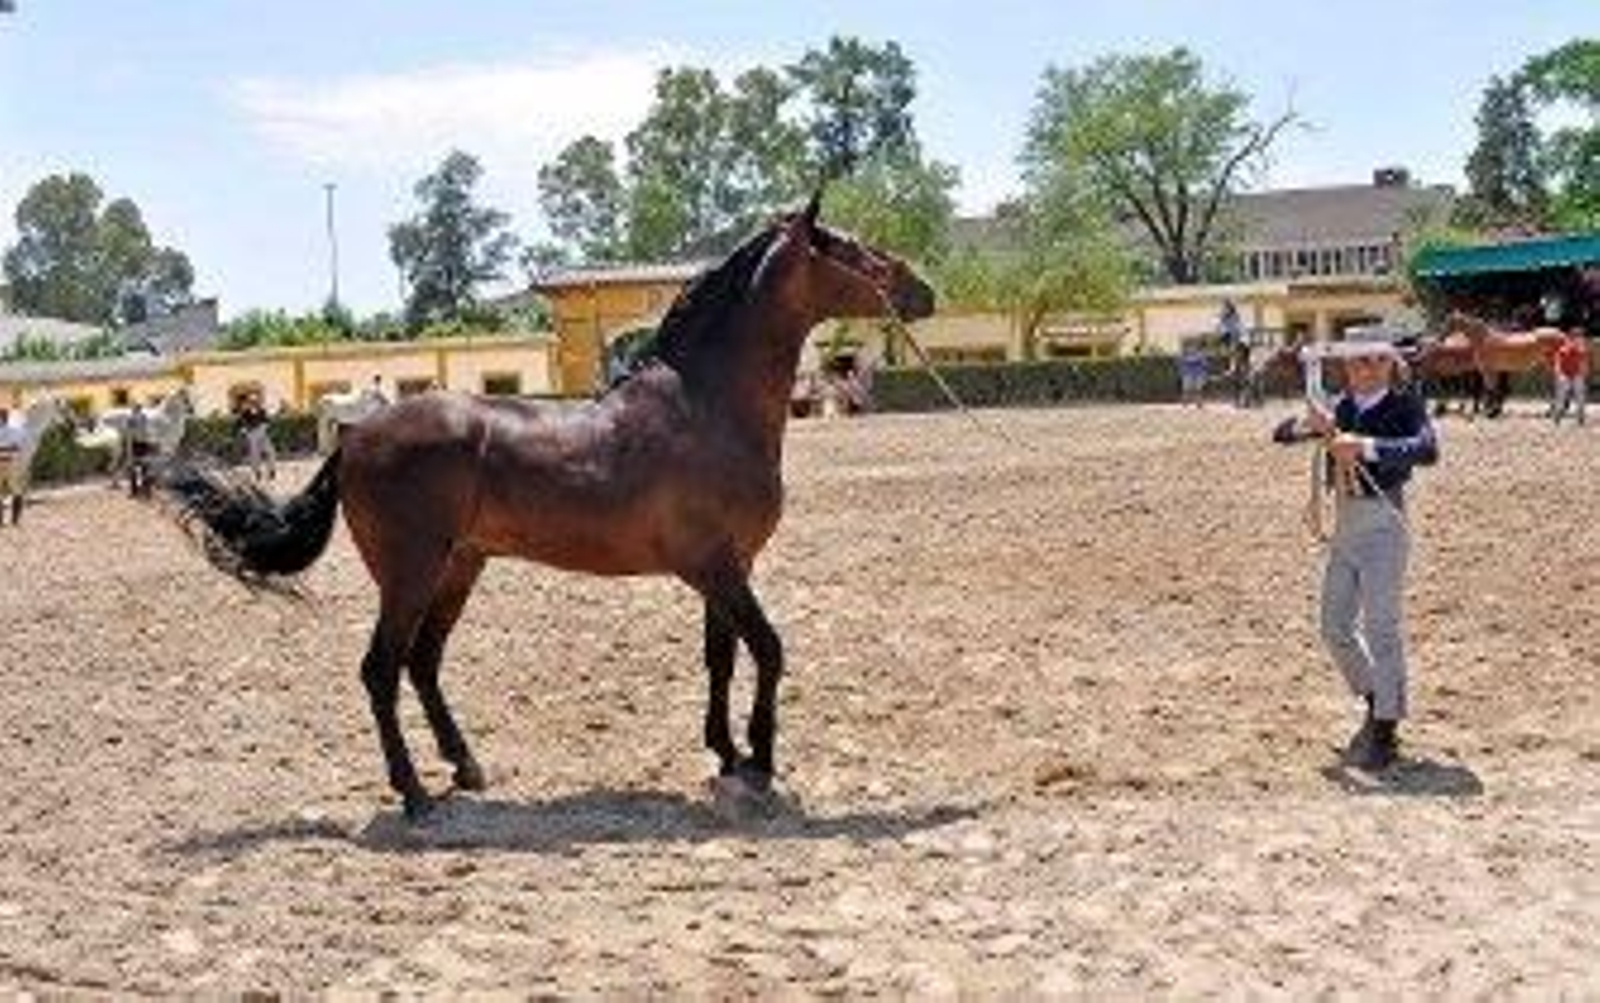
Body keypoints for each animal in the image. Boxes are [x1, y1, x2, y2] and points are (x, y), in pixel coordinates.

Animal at [157, 194, 937, 820]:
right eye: (853, 249)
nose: (923, 288)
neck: (706, 406)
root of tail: (357, 437)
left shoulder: (725, 570)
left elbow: (720, 657)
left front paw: (727, 753)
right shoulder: (717, 569)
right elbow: (769, 650)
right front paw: (762, 763)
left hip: (458, 568)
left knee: (423, 663)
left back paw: (466, 768)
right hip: (411, 574)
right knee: (382, 669)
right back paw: (414, 794)